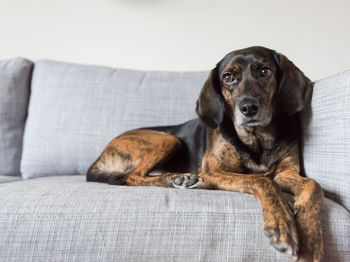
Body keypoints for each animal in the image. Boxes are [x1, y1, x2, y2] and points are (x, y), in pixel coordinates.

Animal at [87, 46, 322, 260]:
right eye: (228, 77)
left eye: (265, 71)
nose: (248, 108)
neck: (257, 141)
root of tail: (99, 159)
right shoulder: (216, 170)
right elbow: (263, 180)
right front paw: (282, 222)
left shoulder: (287, 173)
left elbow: (313, 185)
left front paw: (311, 236)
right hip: (169, 139)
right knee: (132, 177)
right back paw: (176, 179)